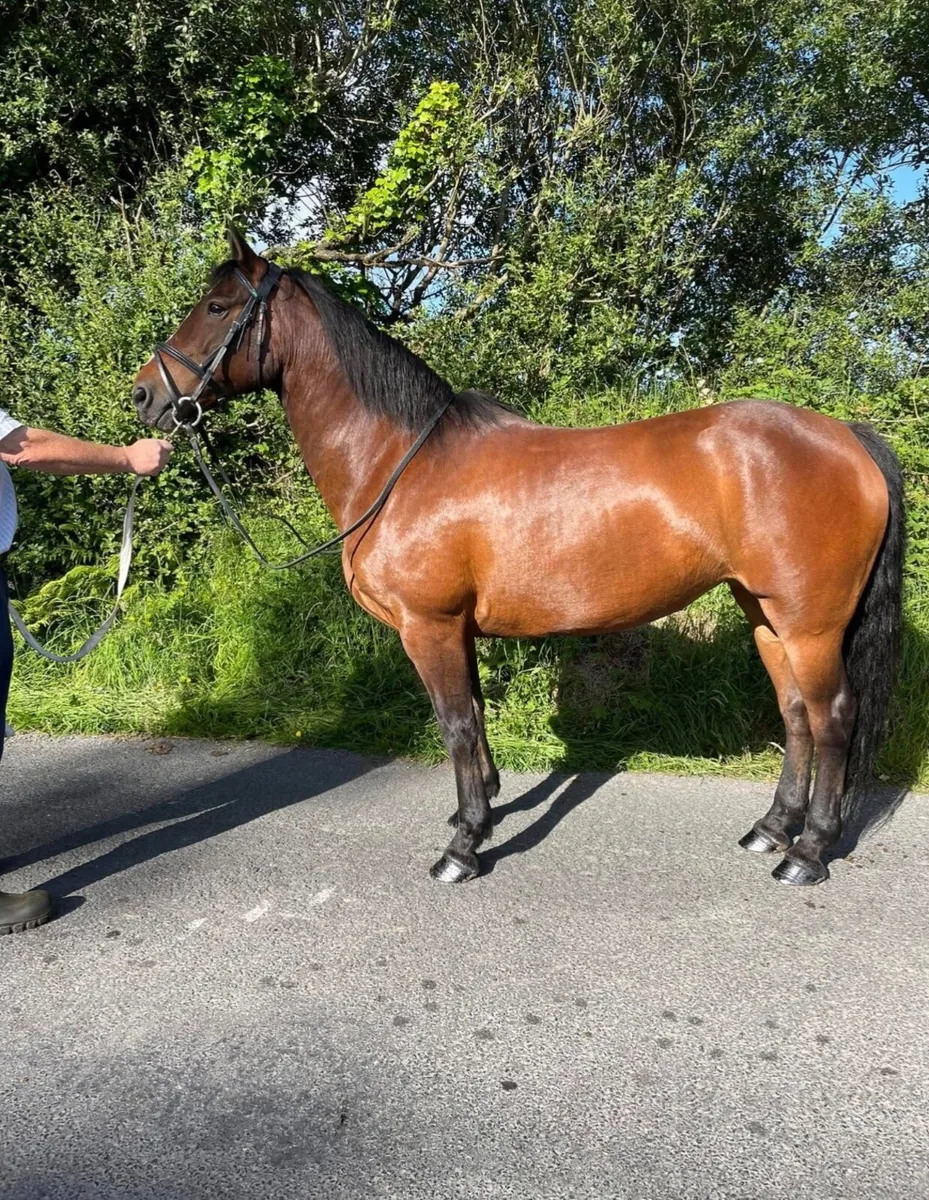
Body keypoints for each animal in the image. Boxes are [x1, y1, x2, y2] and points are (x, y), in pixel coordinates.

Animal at [132, 228, 904, 889]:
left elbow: (455, 724)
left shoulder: (429, 626)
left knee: (831, 716)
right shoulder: (456, 629)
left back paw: (806, 853)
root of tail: (847, 437)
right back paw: (771, 831)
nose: (144, 396)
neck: (401, 462)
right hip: (767, 616)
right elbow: (473, 717)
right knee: (795, 713)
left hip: (810, 625)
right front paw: (479, 810)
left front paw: (462, 848)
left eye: (217, 306)